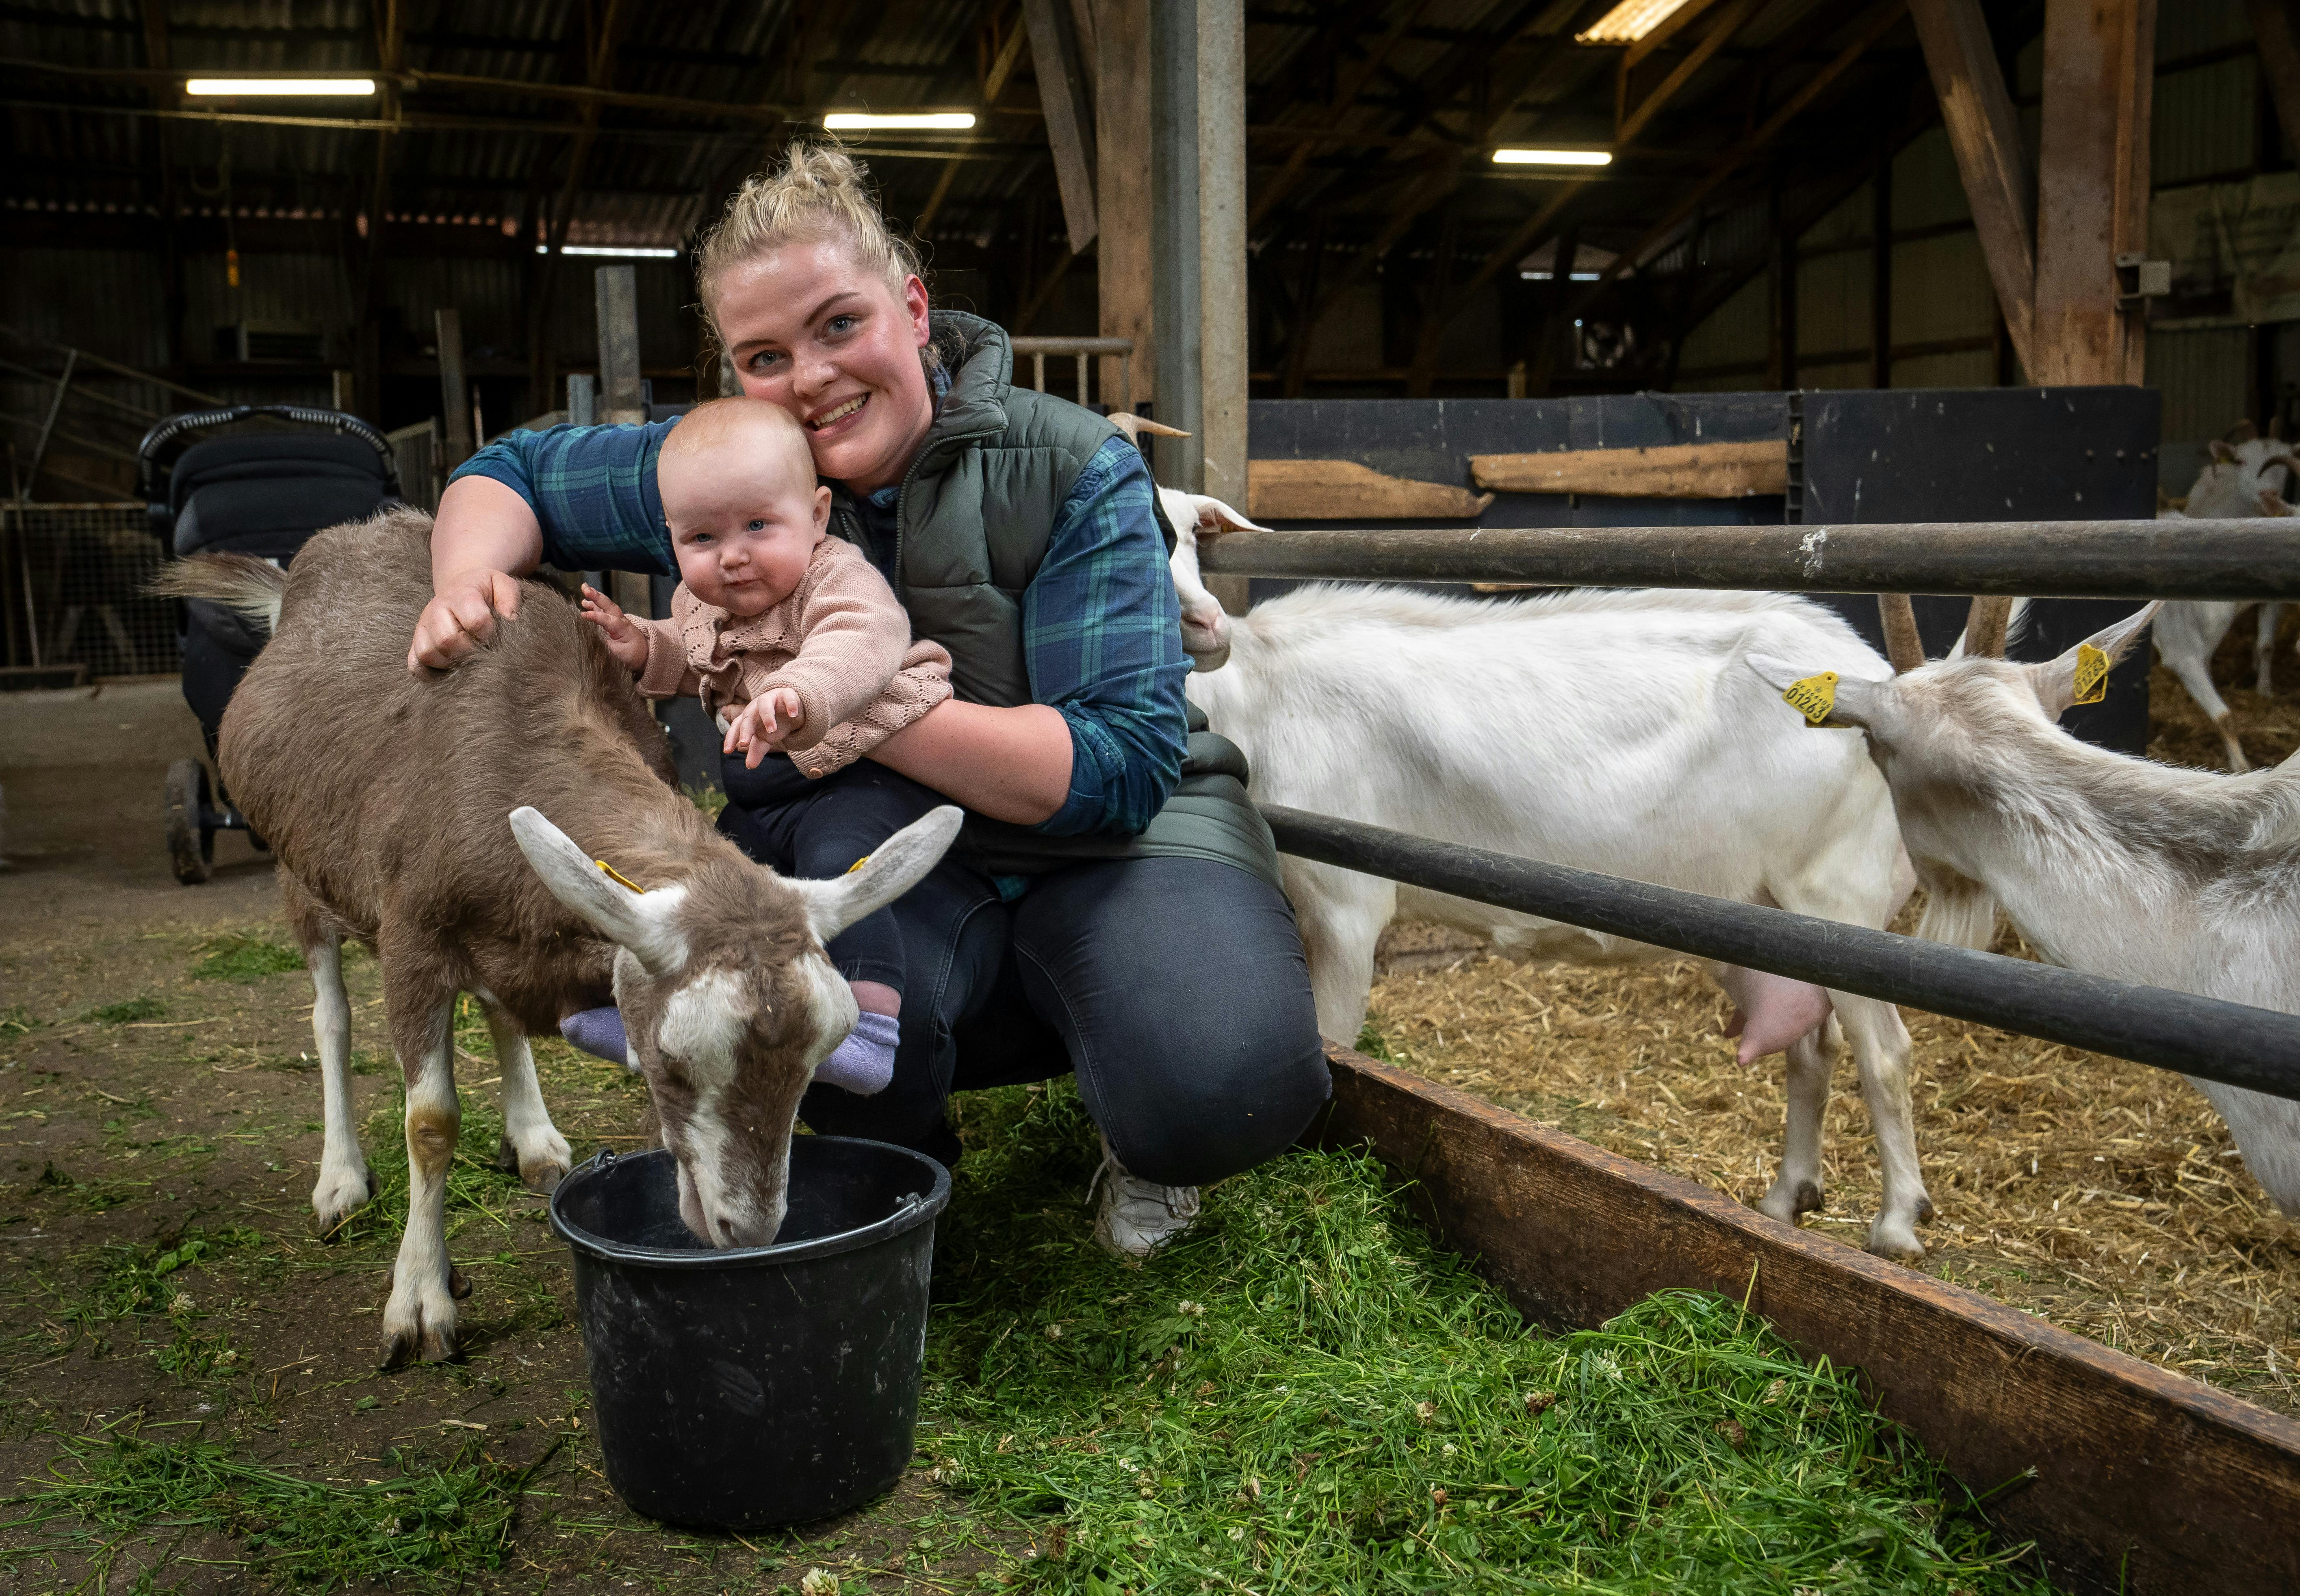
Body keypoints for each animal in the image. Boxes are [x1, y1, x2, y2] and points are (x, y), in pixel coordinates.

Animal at [155, 515, 952, 1379]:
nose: (748, 1231)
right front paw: (419, 1303)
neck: (518, 742)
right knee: (328, 1014)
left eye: (818, 1062)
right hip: (301, 868)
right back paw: (340, 1178)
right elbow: (429, 1122)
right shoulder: (412, 938)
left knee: (497, 1006)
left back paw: (532, 1137)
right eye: (670, 1062)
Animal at [1159, 497, 1932, 1260]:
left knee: (1884, 1051)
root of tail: (1872, 676)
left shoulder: (1344, 905)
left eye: (1186, 537)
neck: (1258, 694)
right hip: (1770, 919)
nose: (1204, 623)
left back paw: (1896, 1223)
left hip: (1840, 900)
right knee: (1812, 1044)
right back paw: (1784, 1199)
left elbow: (1337, 1044)